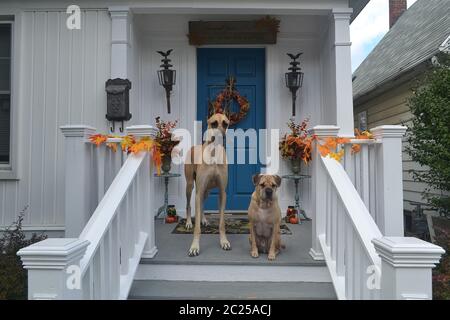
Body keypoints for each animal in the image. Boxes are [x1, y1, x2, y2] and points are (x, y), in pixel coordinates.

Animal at [184, 113, 230, 258]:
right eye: (214, 123)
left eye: (226, 123)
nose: (222, 136)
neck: (214, 152)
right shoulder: (198, 190)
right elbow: (197, 228)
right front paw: (194, 247)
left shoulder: (222, 192)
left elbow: (221, 223)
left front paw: (224, 241)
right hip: (190, 186)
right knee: (189, 205)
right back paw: (188, 222)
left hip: (207, 190)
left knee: (202, 205)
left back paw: (203, 219)